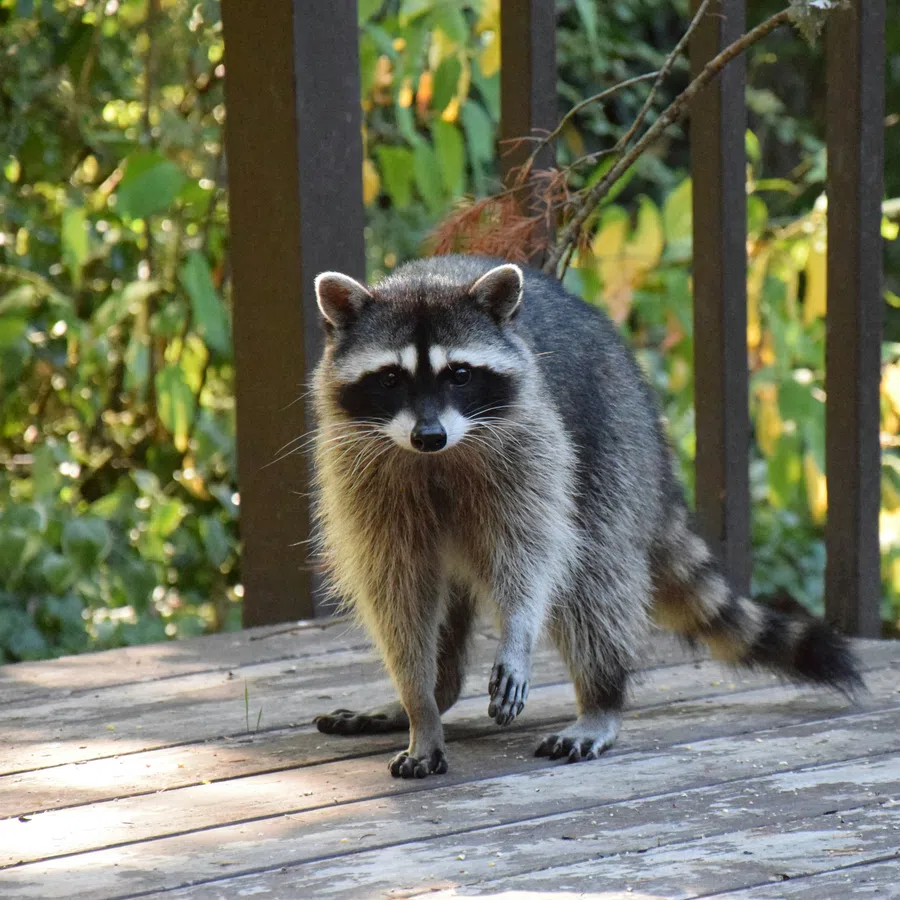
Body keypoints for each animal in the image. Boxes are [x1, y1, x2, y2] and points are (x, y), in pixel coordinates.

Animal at [310, 254, 861, 779]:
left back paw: (601, 698)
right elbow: (396, 589)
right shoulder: (362, 471)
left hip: (611, 442)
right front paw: (419, 705)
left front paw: (518, 631)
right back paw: (439, 691)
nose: (429, 436)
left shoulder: (530, 441)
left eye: (460, 375)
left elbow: (532, 553)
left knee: (591, 577)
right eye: (390, 378)